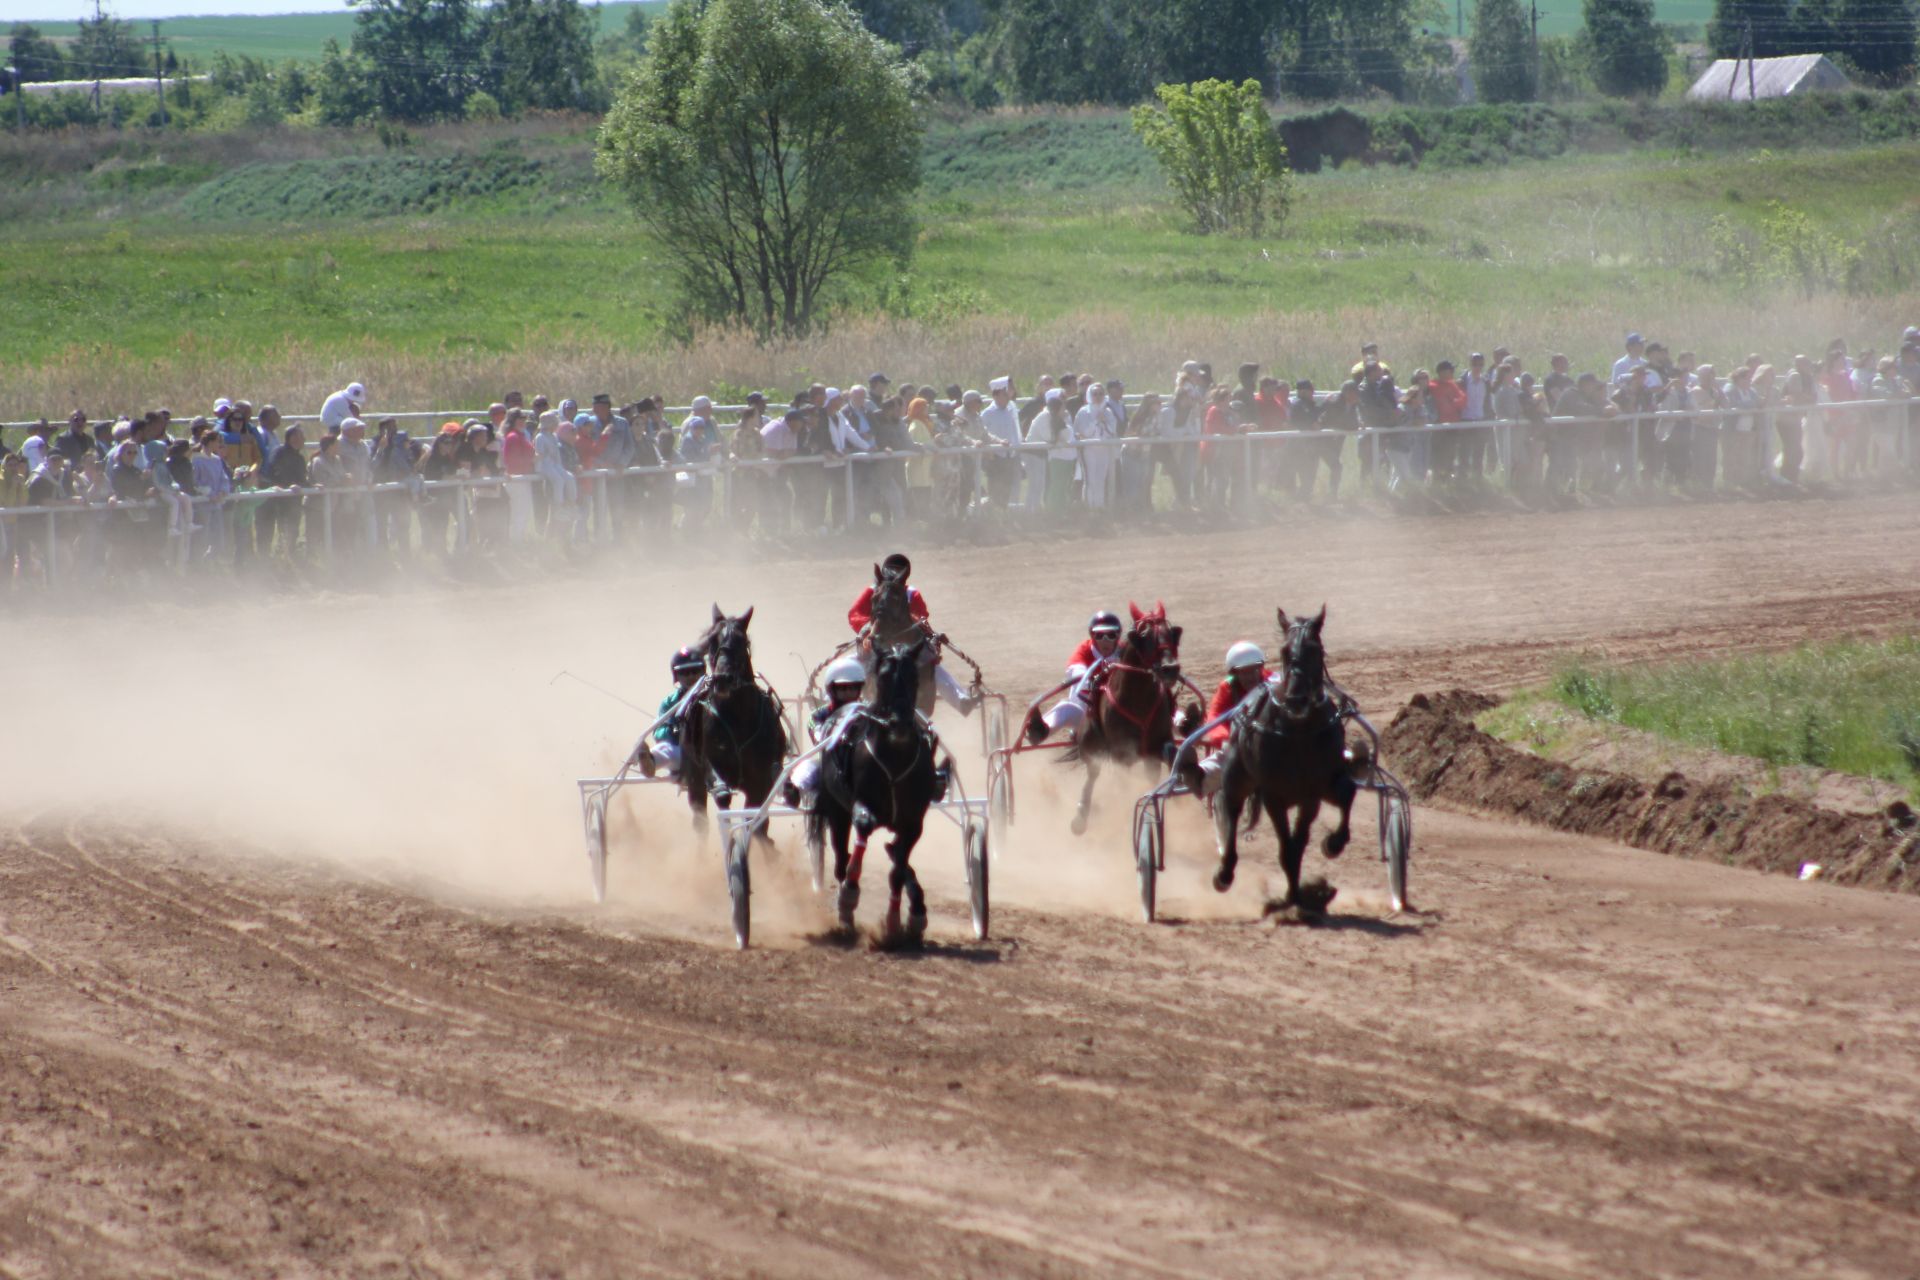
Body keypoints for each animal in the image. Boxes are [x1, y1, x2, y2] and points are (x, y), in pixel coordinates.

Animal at [679, 610, 791, 840]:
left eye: (743, 641)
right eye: (712, 641)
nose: (723, 678)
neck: (737, 719)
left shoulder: (762, 779)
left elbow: (755, 817)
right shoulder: (710, 761)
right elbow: (721, 794)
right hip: (693, 774)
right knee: (700, 818)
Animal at [806, 637, 940, 940]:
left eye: (914, 677)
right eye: (883, 677)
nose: (899, 723)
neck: (894, 757)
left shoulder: (913, 823)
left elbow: (898, 869)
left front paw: (894, 923)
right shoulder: (860, 806)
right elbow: (863, 831)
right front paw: (848, 897)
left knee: (894, 854)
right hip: (837, 810)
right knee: (841, 858)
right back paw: (846, 914)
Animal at [1059, 602, 1190, 836]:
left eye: (1171, 632)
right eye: (1144, 635)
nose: (1170, 668)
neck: (1138, 701)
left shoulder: (1157, 745)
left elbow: (1170, 757)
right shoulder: (1122, 753)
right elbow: (1123, 784)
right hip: (1090, 744)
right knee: (1092, 774)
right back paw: (1081, 817)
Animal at [1205, 606, 1359, 917]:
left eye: (1315, 649)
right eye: (1285, 650)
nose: (1297, 699)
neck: (1298, 731)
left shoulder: (1315, 791)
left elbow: (1345, 795)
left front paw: (1332, 845)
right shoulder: (1274, 795)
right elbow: (1287, 849)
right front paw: (1292, 901)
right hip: (1237, 776)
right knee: (1230, 811)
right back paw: (1224, 873)